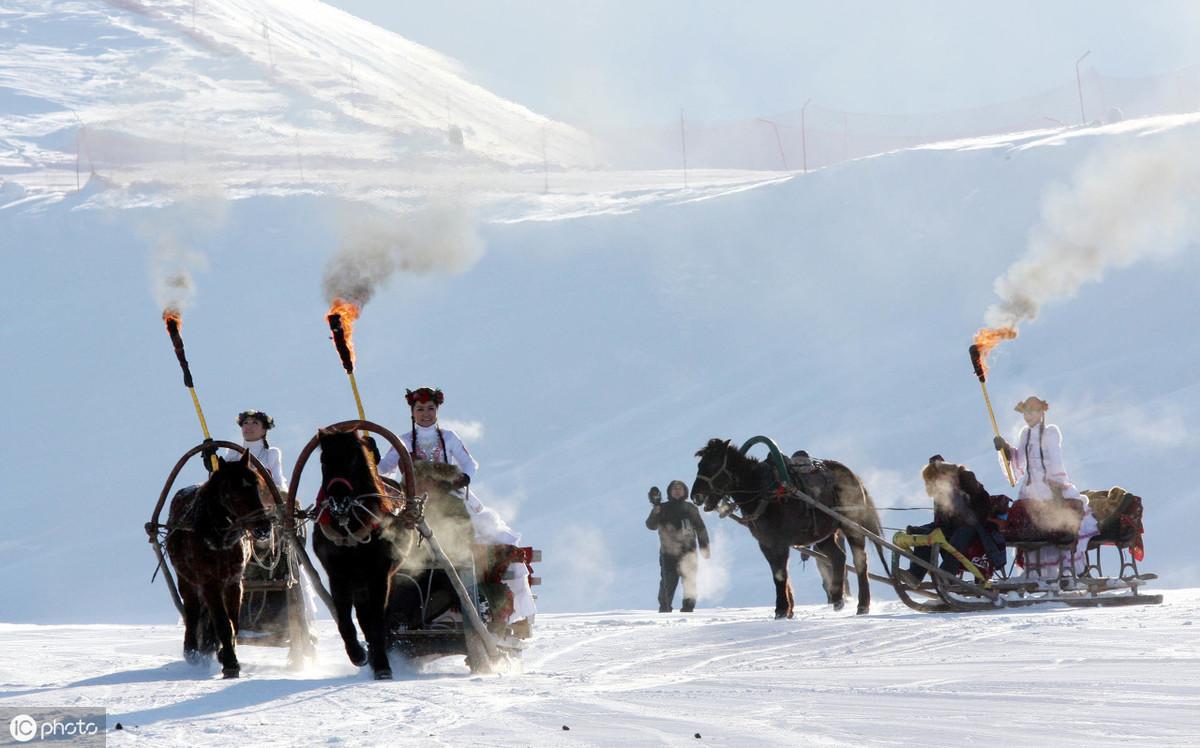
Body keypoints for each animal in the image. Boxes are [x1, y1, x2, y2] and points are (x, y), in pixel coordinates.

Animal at [165, 446, 273, 681]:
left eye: (257, 486)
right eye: (233, 492)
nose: (263, 528)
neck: (217, 537)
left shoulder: (233, 582)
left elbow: (233, 622)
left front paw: (225, 653)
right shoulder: (209, 583)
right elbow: (222, 623)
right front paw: (231, 663)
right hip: (186, 579)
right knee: (193, 611)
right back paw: (192, 651)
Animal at [309, 427, 422, 677]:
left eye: (353, 458)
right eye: (323, 460)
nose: (339, 500)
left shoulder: (379, 575)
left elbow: (378, 619)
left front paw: (381, 665)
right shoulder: (338, 576)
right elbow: (344, 619)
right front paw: (357, 654)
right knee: (362, 615)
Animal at [691, 439, 878, 614]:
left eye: (713, 464)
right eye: (700, 465)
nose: (695, 496)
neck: (764, 491)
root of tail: (854, 477)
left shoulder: (779, 543)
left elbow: (781, 575)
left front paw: (781, 609)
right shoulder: (765, 543)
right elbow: (778, 574)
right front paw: (787, 609)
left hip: (851, 527)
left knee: (860, 560)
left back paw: (863, 604)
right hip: (823, 534)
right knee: (838, 557)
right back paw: (838, 599)